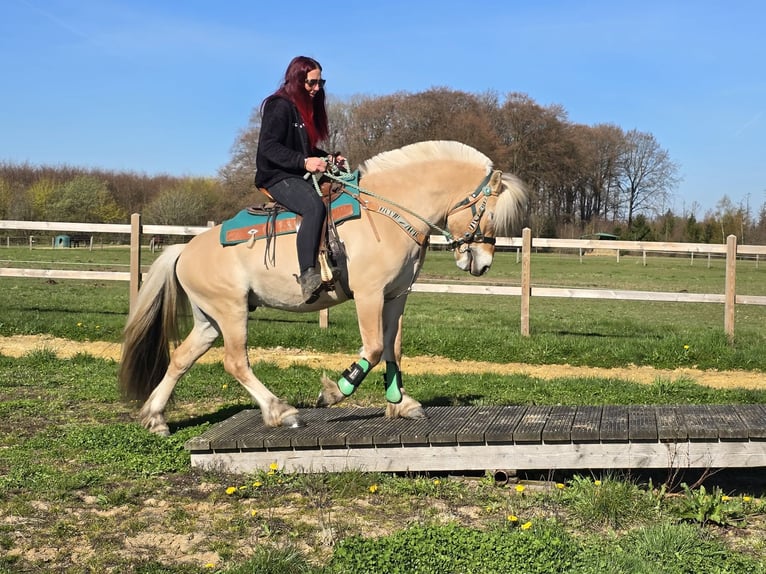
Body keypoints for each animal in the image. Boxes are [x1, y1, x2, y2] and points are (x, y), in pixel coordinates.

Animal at [118, 140, 527, 436]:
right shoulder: (368, 295)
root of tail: (184, 250)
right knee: (235, 362)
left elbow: (393, 348)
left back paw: (155, 417)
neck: (389, 213)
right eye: (489, 213)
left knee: (181, 359)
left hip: (209, 319)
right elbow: (373, 348)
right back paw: (279, 411)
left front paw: (400, 402)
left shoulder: (396, 296)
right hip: (230, 313)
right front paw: (335, 392)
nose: (483, 263)